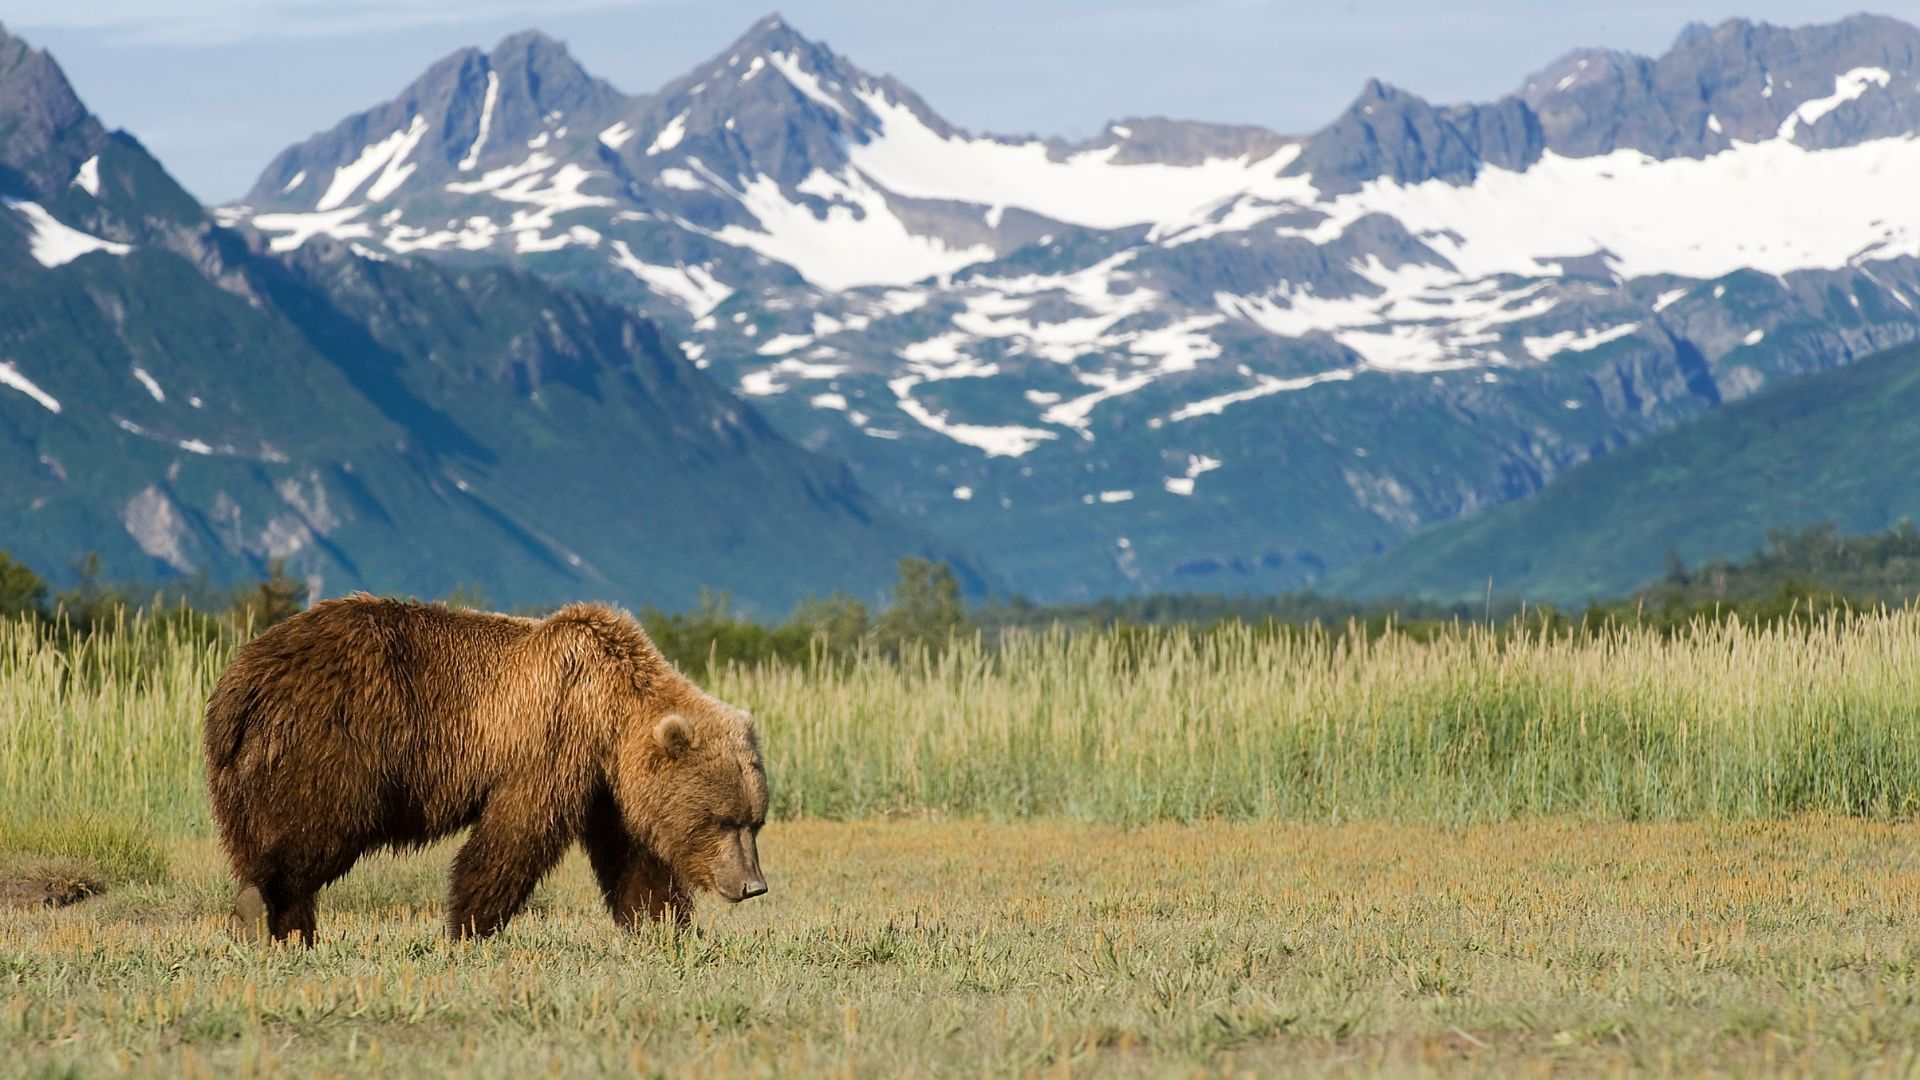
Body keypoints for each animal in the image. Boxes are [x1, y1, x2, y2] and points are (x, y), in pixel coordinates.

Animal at [203, 593, 768, 944]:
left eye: (754, 822)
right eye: (722, 820)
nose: (753, 885)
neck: (611, 712)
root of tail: (241, 679)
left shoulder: (608, 787)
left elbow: (634, 860)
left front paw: (667, 928)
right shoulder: (552, 739)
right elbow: (514, 836)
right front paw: (467, 926)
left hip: (247, 768)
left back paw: (287, 929)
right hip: (335, 742)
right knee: (313, 830)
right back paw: (261, 912)